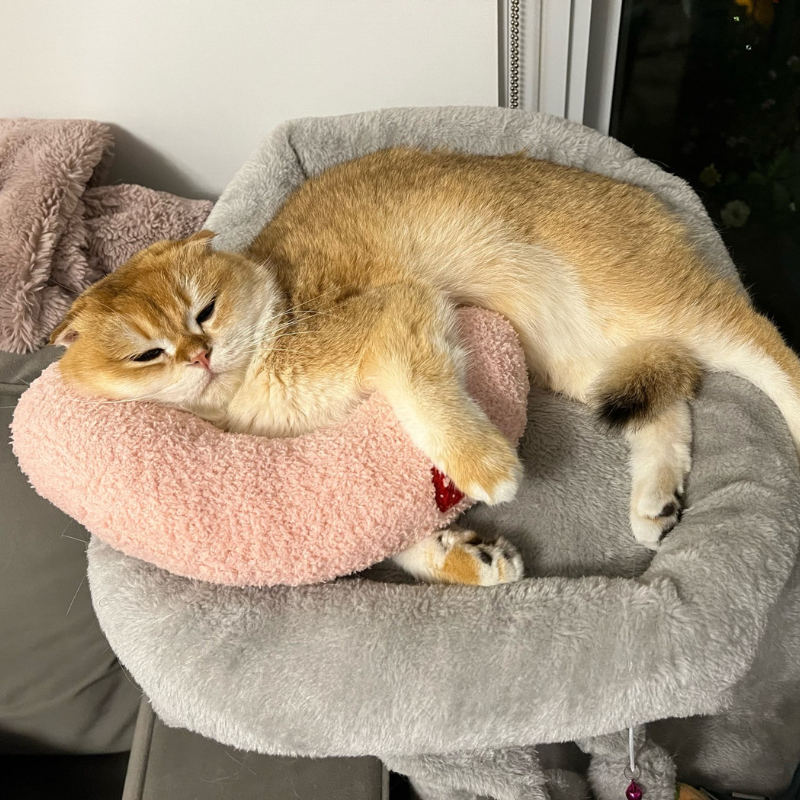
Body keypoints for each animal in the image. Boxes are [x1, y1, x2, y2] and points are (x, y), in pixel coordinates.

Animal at [53, 145, 800, 580]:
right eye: (147, 354)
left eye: (203, 311)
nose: (199, 355)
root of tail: (657, 196)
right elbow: (389, 542)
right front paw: (469, 558)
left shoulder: (398, 311)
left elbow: (423, 397)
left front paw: (485, 466)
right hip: (590, 361)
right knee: (669, 406)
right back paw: (657, 502)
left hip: (653, 303)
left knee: (765, 345)